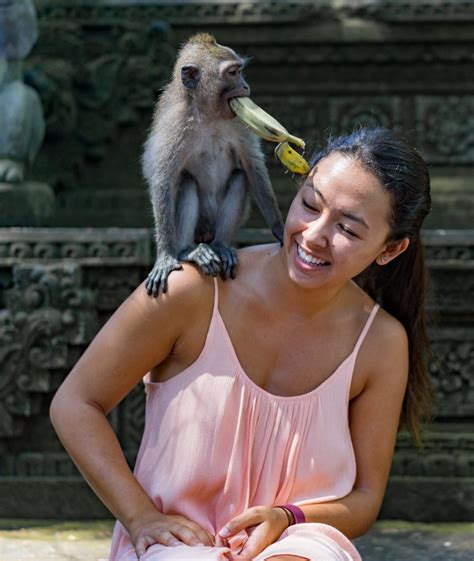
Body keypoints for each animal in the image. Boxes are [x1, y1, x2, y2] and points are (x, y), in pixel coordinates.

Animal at [143, 34, 284, 298]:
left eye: (240, 71)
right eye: (232, 73)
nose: (246, 87)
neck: (208, 115)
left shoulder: (239, 121)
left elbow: (252, 165)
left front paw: (281, 229)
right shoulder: (176, 124)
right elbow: (163, 180)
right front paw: (165, 256)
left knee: (239, 177)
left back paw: (220, 246)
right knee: (186, 182)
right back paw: (188, 250)